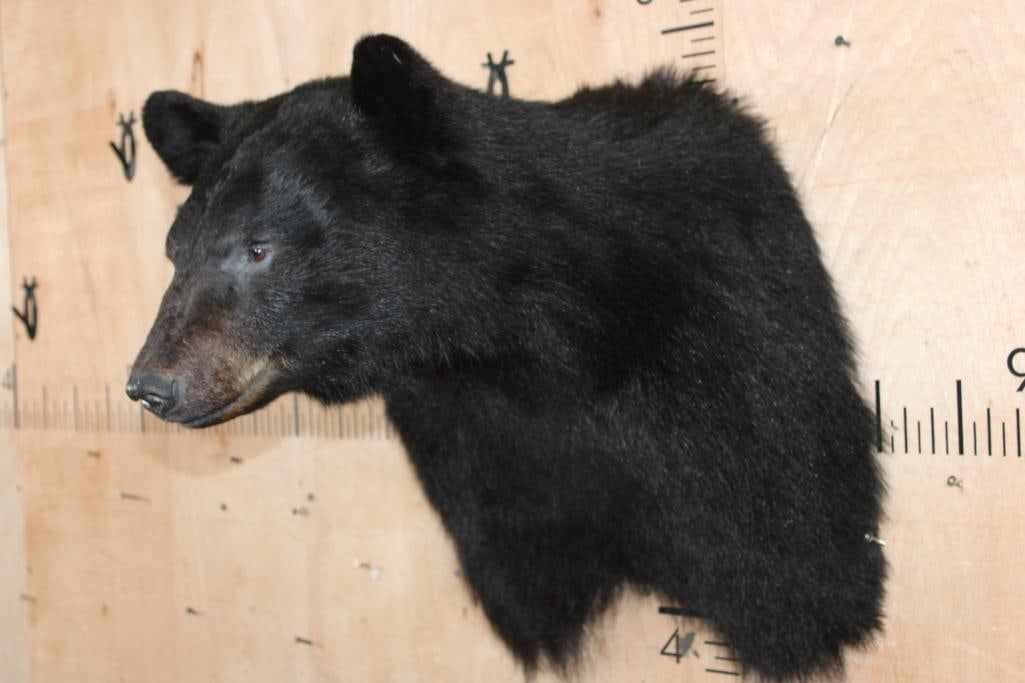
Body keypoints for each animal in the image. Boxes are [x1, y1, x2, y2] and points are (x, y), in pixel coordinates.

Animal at [127, 34, 886, 681]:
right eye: (174, 252)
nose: (150, 385)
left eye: (259, 247)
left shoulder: (734, 374)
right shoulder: (483, 457)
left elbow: (784, 543)